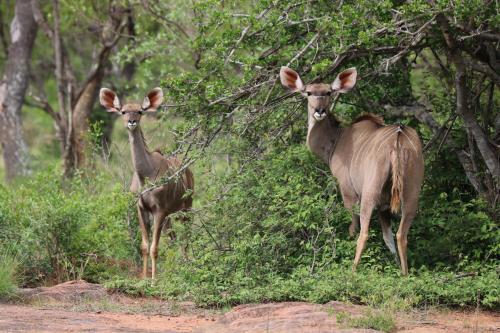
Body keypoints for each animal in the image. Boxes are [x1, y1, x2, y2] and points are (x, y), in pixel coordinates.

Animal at [100, 87, 194, 278]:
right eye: (123, 111)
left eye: (140, 111)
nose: (132, 122)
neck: (146, 173)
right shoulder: (141, 208)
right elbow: (144, 246)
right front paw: (144, 278)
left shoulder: (159, 210)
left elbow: (154, 248)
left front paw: (153, 280)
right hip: (170, 216)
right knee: (174, 238)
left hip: (186, 208)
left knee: (186, 236)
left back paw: (185, 266)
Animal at [280, 66, 424, 274]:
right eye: (308, 92)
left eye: (328, 92)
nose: (320, 111)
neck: (336, 140)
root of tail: (398, 138)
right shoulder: (384, 208)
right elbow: (388, 238)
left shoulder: (348, 191)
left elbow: (353, 228)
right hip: (411, 193)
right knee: (401, 235)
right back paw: (405, 275)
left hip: (369, 194)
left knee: (364, 233)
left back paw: (352, 272)